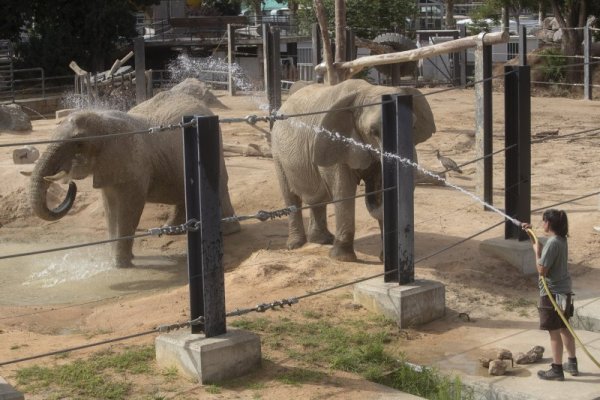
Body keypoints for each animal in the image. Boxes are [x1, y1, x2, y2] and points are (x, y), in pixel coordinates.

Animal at [28, 79, 239, 268]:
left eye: (78, 143)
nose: (71, 184)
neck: (102, 119)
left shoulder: (133, 165)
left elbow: (129, 207)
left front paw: (120, 264)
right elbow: (110, 207)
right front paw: (115, 261)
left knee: (221, 185)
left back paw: (228, 231)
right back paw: (170, 230)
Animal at [272, 78, 436, 262]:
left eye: (413, 127)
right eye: (373, 132)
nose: (370, 195)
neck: (366, 90)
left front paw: (386, 259)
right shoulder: (335, 142)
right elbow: (344, 191)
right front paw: (342, 258)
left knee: (319, 197)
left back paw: (322, 240)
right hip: (277, 152)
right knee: (291, 196)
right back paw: (295, 245)